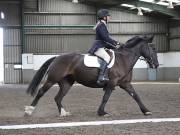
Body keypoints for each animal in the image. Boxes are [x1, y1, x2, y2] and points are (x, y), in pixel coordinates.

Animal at [24, 34, 158, 117]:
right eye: (153, 48)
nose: (156, 65)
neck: (123, 59)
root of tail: (57, 57)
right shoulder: (112, 82)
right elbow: (105, 97)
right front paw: (102, 112)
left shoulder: (125, 83)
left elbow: (136, 96)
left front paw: (146, 111)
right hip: (52, 79)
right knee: (41, 92)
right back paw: (29, 111)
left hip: (67, 83)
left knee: (58, 97)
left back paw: (63, 113)